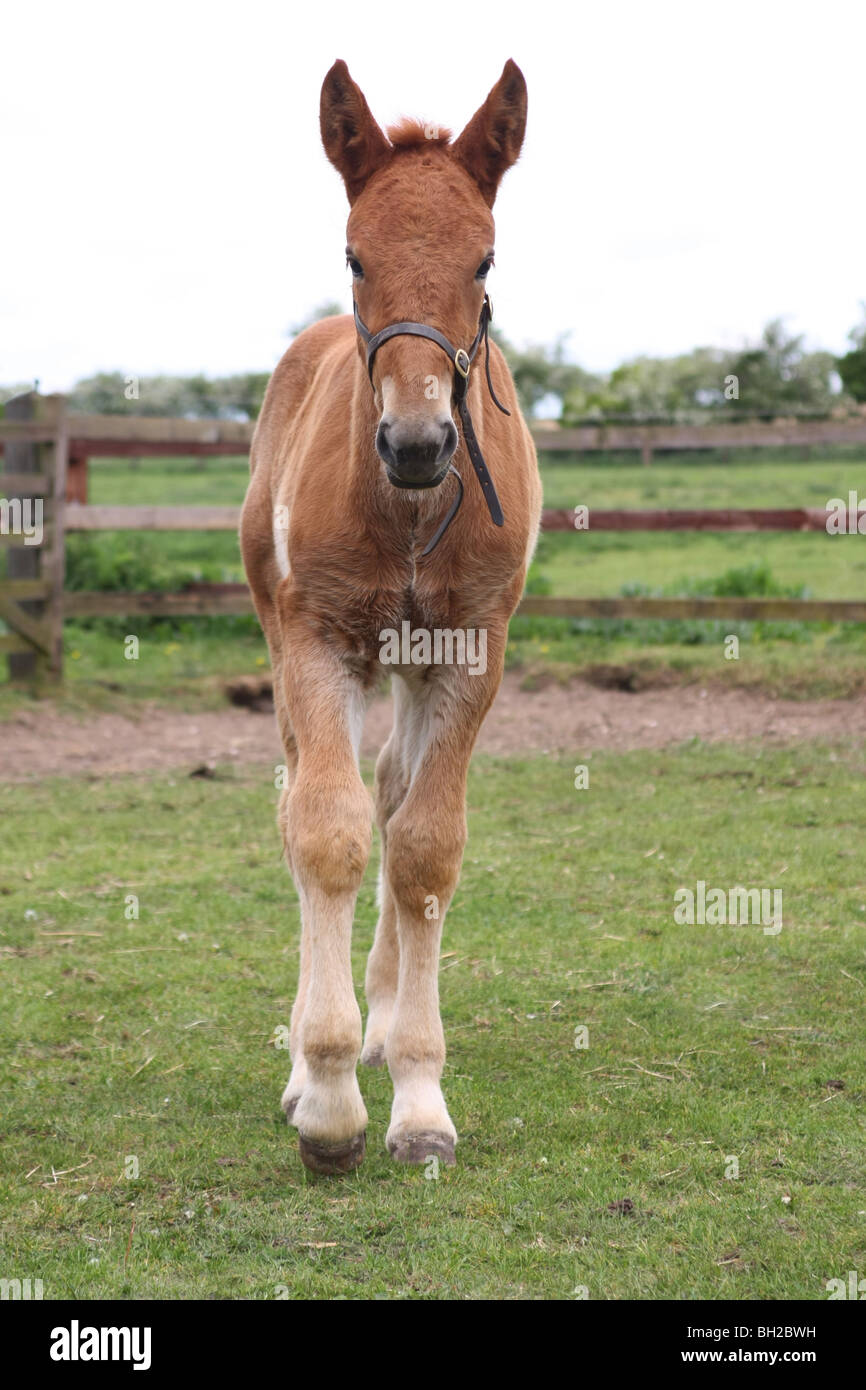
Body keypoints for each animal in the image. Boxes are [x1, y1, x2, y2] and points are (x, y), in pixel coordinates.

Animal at [240, 56, 542, 1173]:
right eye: (353, 253)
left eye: (485, 256)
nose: (417, 442)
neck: (409, 510)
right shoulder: (317, 641)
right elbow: (324, 832)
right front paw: (326, 1100)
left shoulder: (471, 654)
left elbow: (423, 849)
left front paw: (417, 1095)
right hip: (285, 638)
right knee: (305, 799)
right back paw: (311, 1061)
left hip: (411, 664)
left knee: (395, 792)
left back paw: (378, 1022)